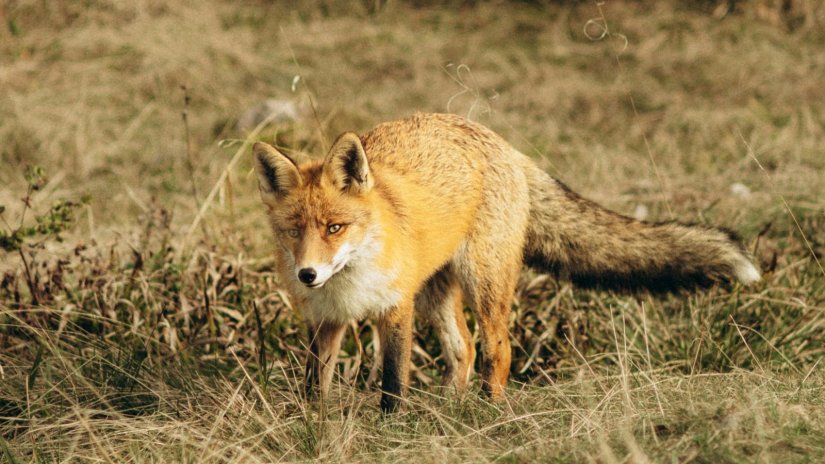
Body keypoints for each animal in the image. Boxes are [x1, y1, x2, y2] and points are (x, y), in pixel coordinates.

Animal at [251, 112, 760, 414]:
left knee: (498, 351)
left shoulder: (396, 309)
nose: (308, 274)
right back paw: (451, 412)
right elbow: (314, 384)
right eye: (295, 231)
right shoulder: (325, 321)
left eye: (335, 227)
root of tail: (503, 144)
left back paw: (486, 413)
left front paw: (388, 429)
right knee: (463, 349)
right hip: (436, 292)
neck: (348, 283)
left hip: (483, 284)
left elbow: (393, 384)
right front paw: (313, 428)